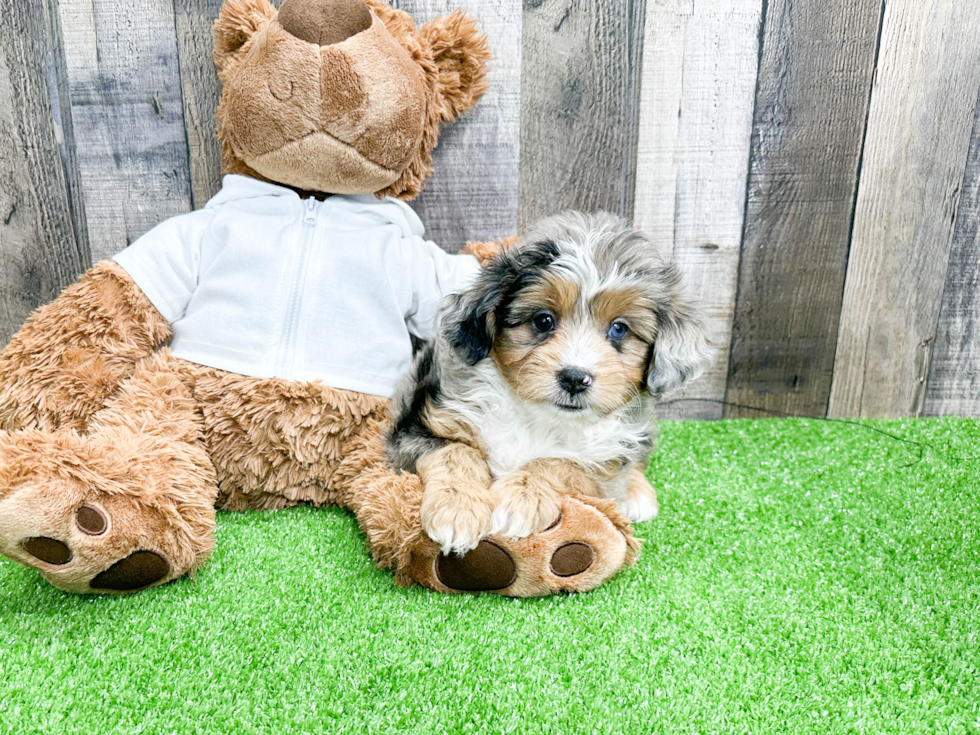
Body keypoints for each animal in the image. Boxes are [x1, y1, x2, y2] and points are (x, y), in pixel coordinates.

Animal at [384, 210, 712, 556]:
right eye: (543, 320)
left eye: (619, 329)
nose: (575, 378)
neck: (538, 418)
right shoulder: (412, 431)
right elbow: (455, 452)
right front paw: (457, 508)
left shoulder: (604, 470)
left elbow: (561, 462)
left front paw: (520, 498)